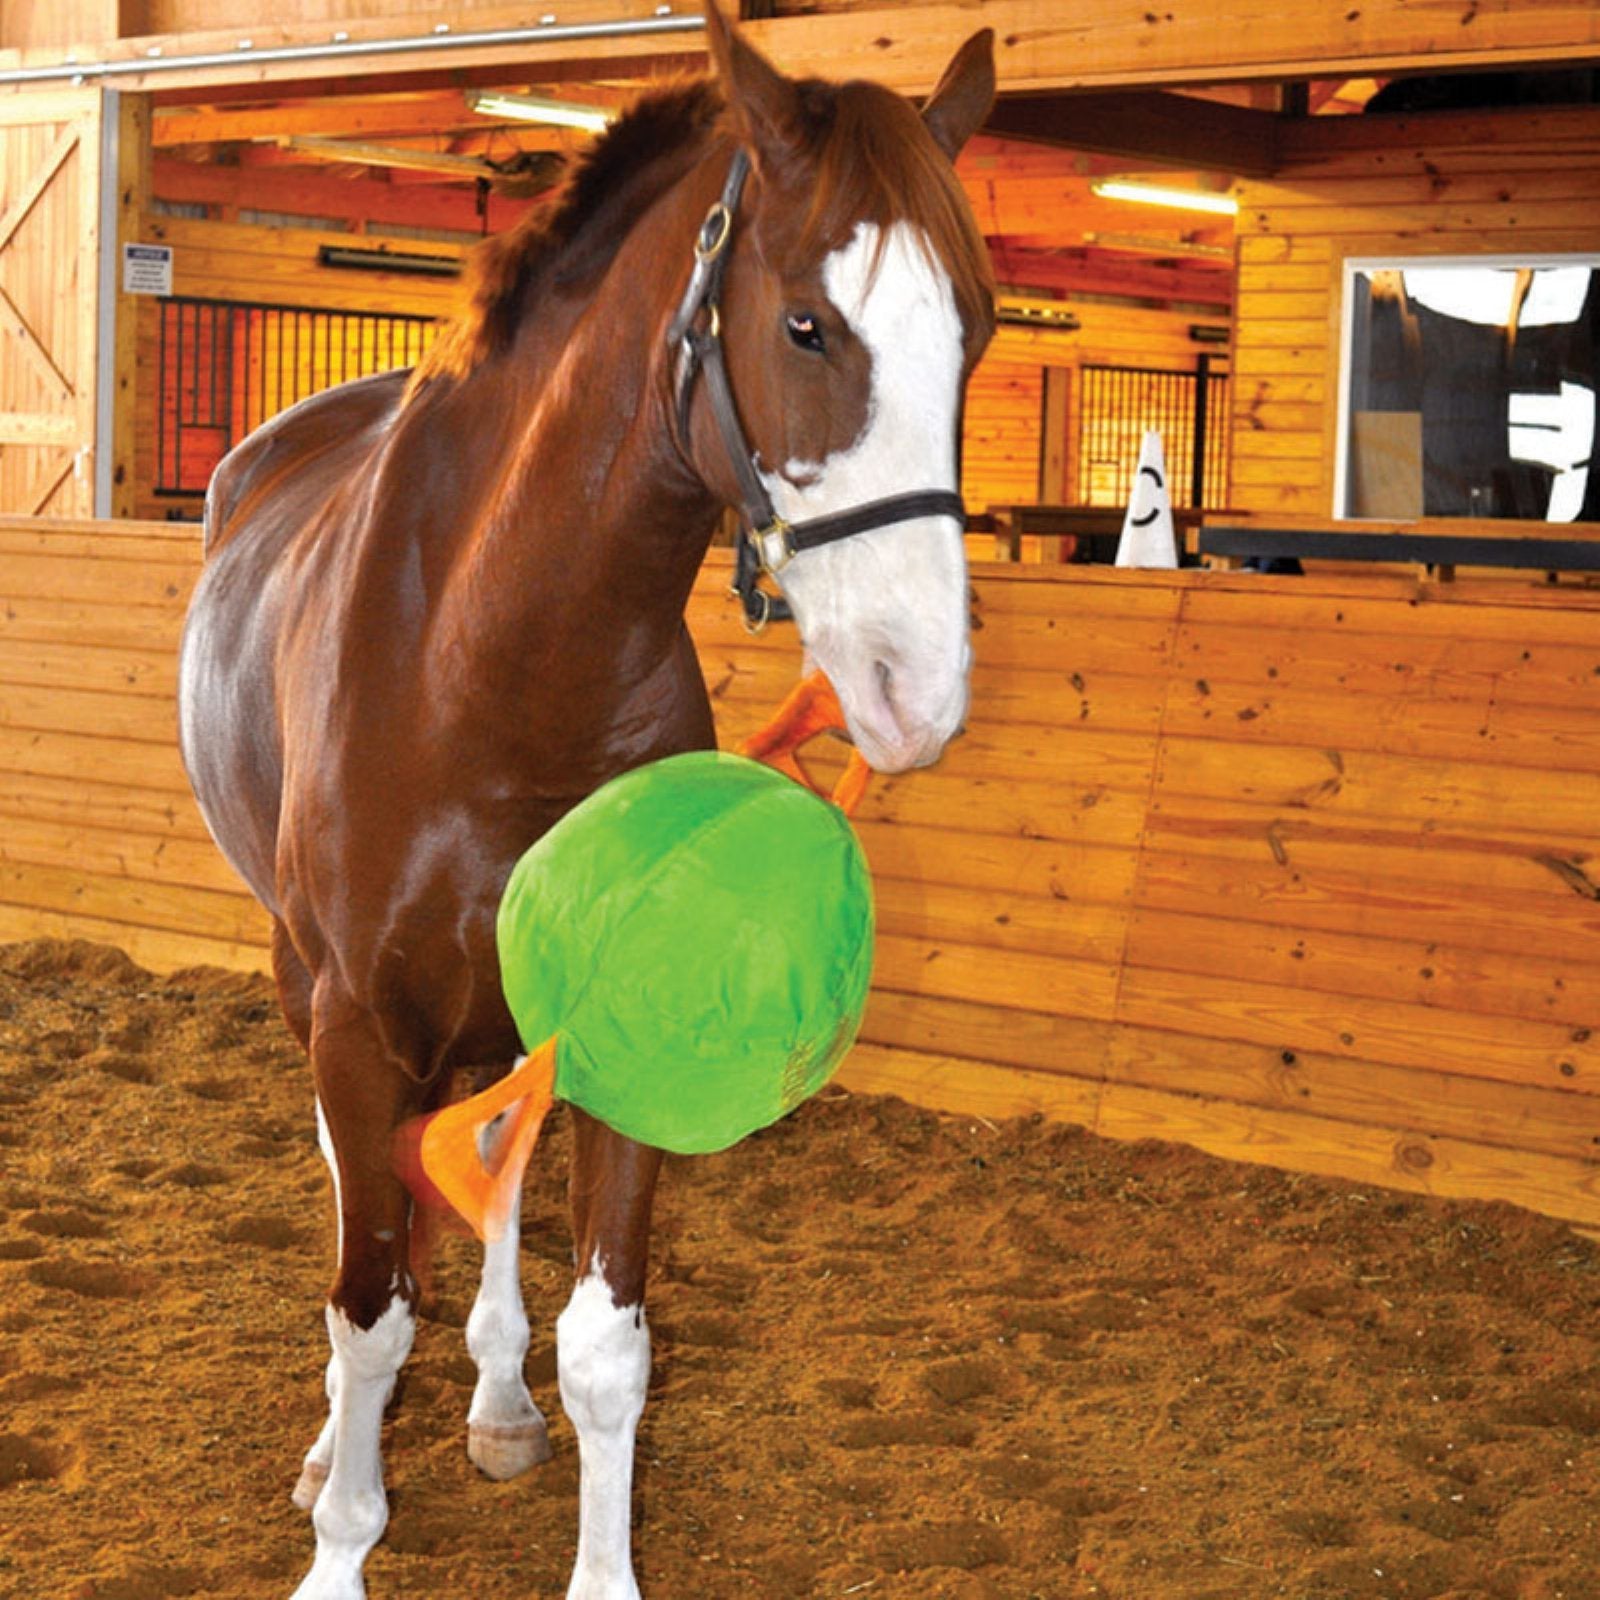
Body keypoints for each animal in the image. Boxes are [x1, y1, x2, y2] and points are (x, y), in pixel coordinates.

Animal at [176, 9, 996, 1596]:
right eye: (807, 325)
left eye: (976, 329)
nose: (914, 687)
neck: (495, 650)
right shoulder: (356, 1021)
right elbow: (368, 1306)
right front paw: (338, 1539)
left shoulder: (619, 1019)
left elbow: (606, 1344)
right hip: (302, 978)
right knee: (365, 1206)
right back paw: (333, 1443)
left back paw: (495, 1399)